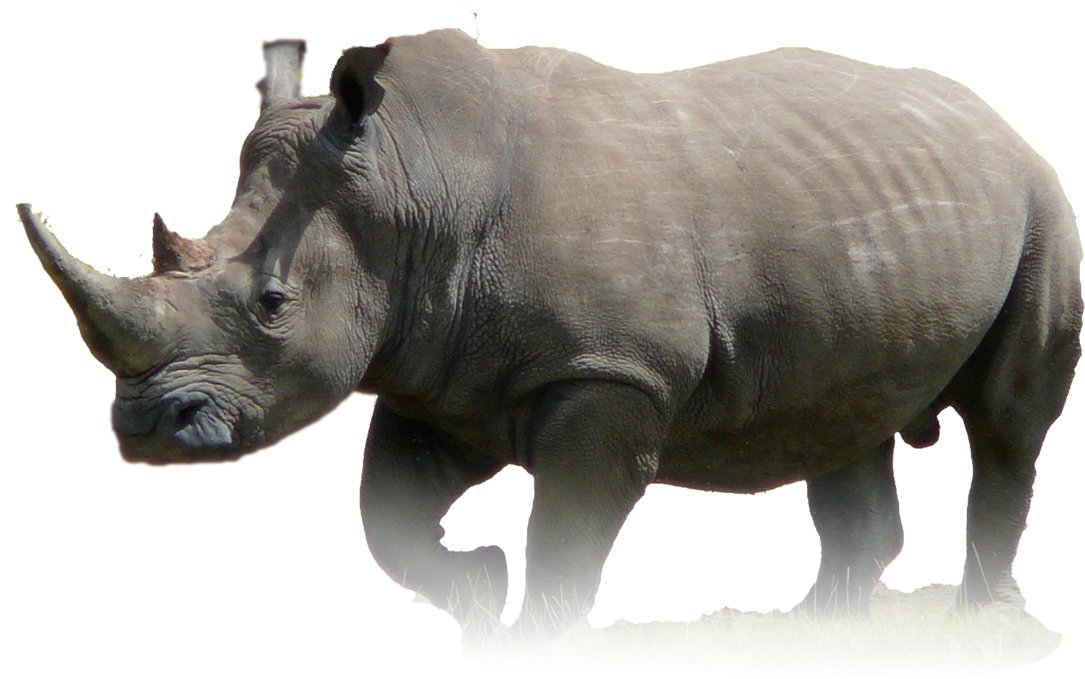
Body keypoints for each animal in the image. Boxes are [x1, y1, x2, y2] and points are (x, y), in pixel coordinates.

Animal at [19, 29, 1081, 646]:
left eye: (274, 304)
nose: (143, 433)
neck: (411, 180)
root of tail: (995, 118)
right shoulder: (434, 365)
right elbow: (386, 516)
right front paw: (479, 591)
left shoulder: (609, 370)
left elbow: (569, 513)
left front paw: (545, 641)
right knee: (844, 410)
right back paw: (819, 632)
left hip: (1039, 202)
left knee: (1008, 419)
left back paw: (979, 620)